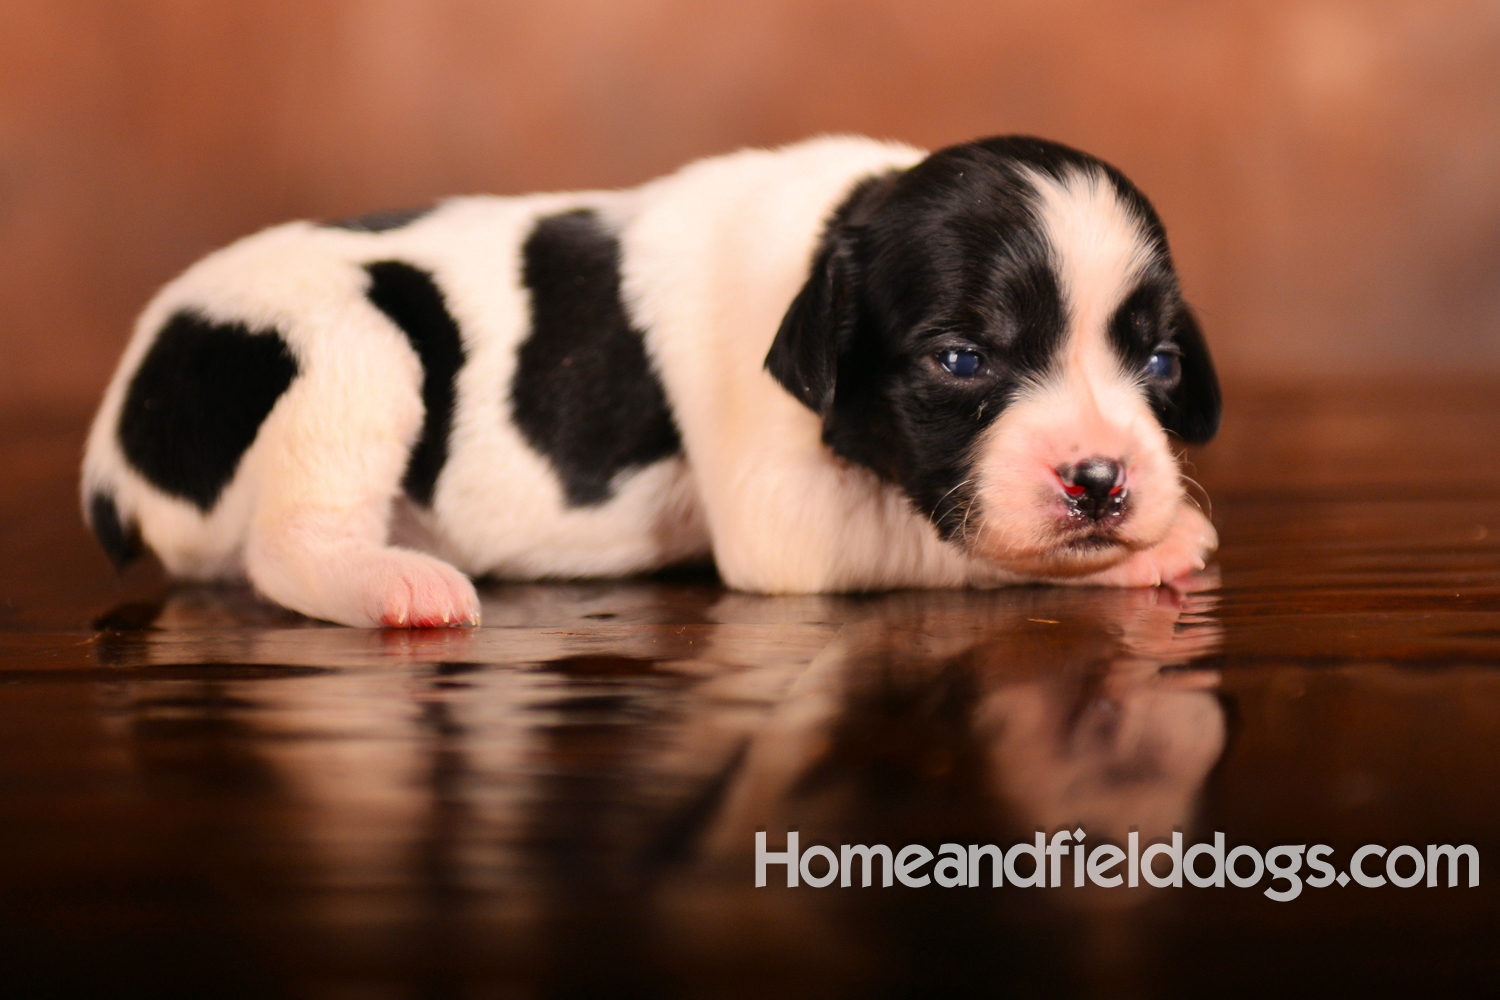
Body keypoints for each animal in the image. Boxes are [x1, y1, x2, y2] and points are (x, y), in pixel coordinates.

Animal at [79, 137, 1218, 629]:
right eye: (962, 361)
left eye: (1159, 363)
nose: (1101, 481)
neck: (831, 230)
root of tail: (113, 438)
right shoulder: (793, 522)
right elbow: (953, 544)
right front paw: (1144, 552)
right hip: (355, 341)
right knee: (285, 546)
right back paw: (395, 583)